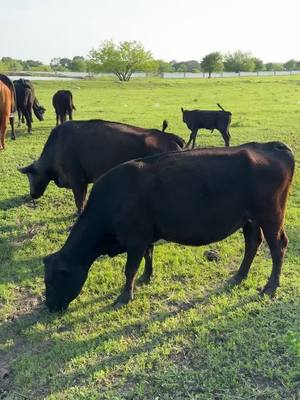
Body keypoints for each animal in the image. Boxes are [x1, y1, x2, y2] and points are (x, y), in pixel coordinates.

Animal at [43, 141, 294, 312]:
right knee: (252, 244)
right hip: (249, 219)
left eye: (53, 281)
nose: (50, 307)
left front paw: (124, 297)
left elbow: (129, 269)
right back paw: (239, 276)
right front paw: (147, 277)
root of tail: (270, 146)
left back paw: (270, 287)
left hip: (271, 217)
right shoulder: (145, 236)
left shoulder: (135, 239)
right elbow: (148, 255)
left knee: (278, 247)